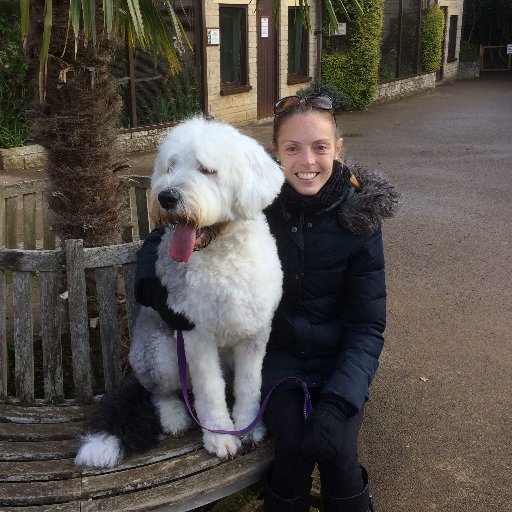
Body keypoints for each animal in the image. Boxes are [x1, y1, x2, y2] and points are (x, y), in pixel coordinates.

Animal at [75, 117, 284, 468]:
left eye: (207, 170)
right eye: (170, 166)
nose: (166, 197)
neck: (220, 256)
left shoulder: (254, 334)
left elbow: (249, 385)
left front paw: (248, 427)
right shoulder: (195, 335)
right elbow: (209, 391)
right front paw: (220, 438)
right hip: (161, 354)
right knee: (162, 392)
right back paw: (174, 416)